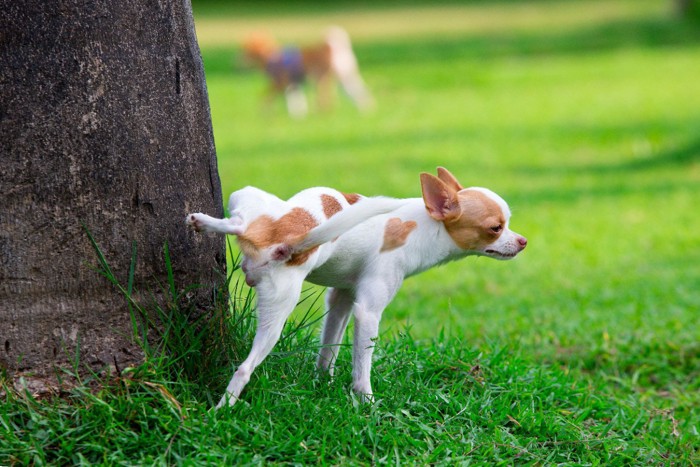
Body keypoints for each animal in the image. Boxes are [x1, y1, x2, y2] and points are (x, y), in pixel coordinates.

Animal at [243, 27, 374, 118]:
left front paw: (265, 112)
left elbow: (266, 98)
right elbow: (296, 101)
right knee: (358, 92)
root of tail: (336, 48)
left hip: (320, 78)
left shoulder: (280, 83)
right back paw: (366, 109)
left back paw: (322, 113)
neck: (271, 57)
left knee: (328, 99)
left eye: (245, 50)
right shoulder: (293, 85)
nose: (239, 60)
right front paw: (298, 115)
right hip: (345, 78)